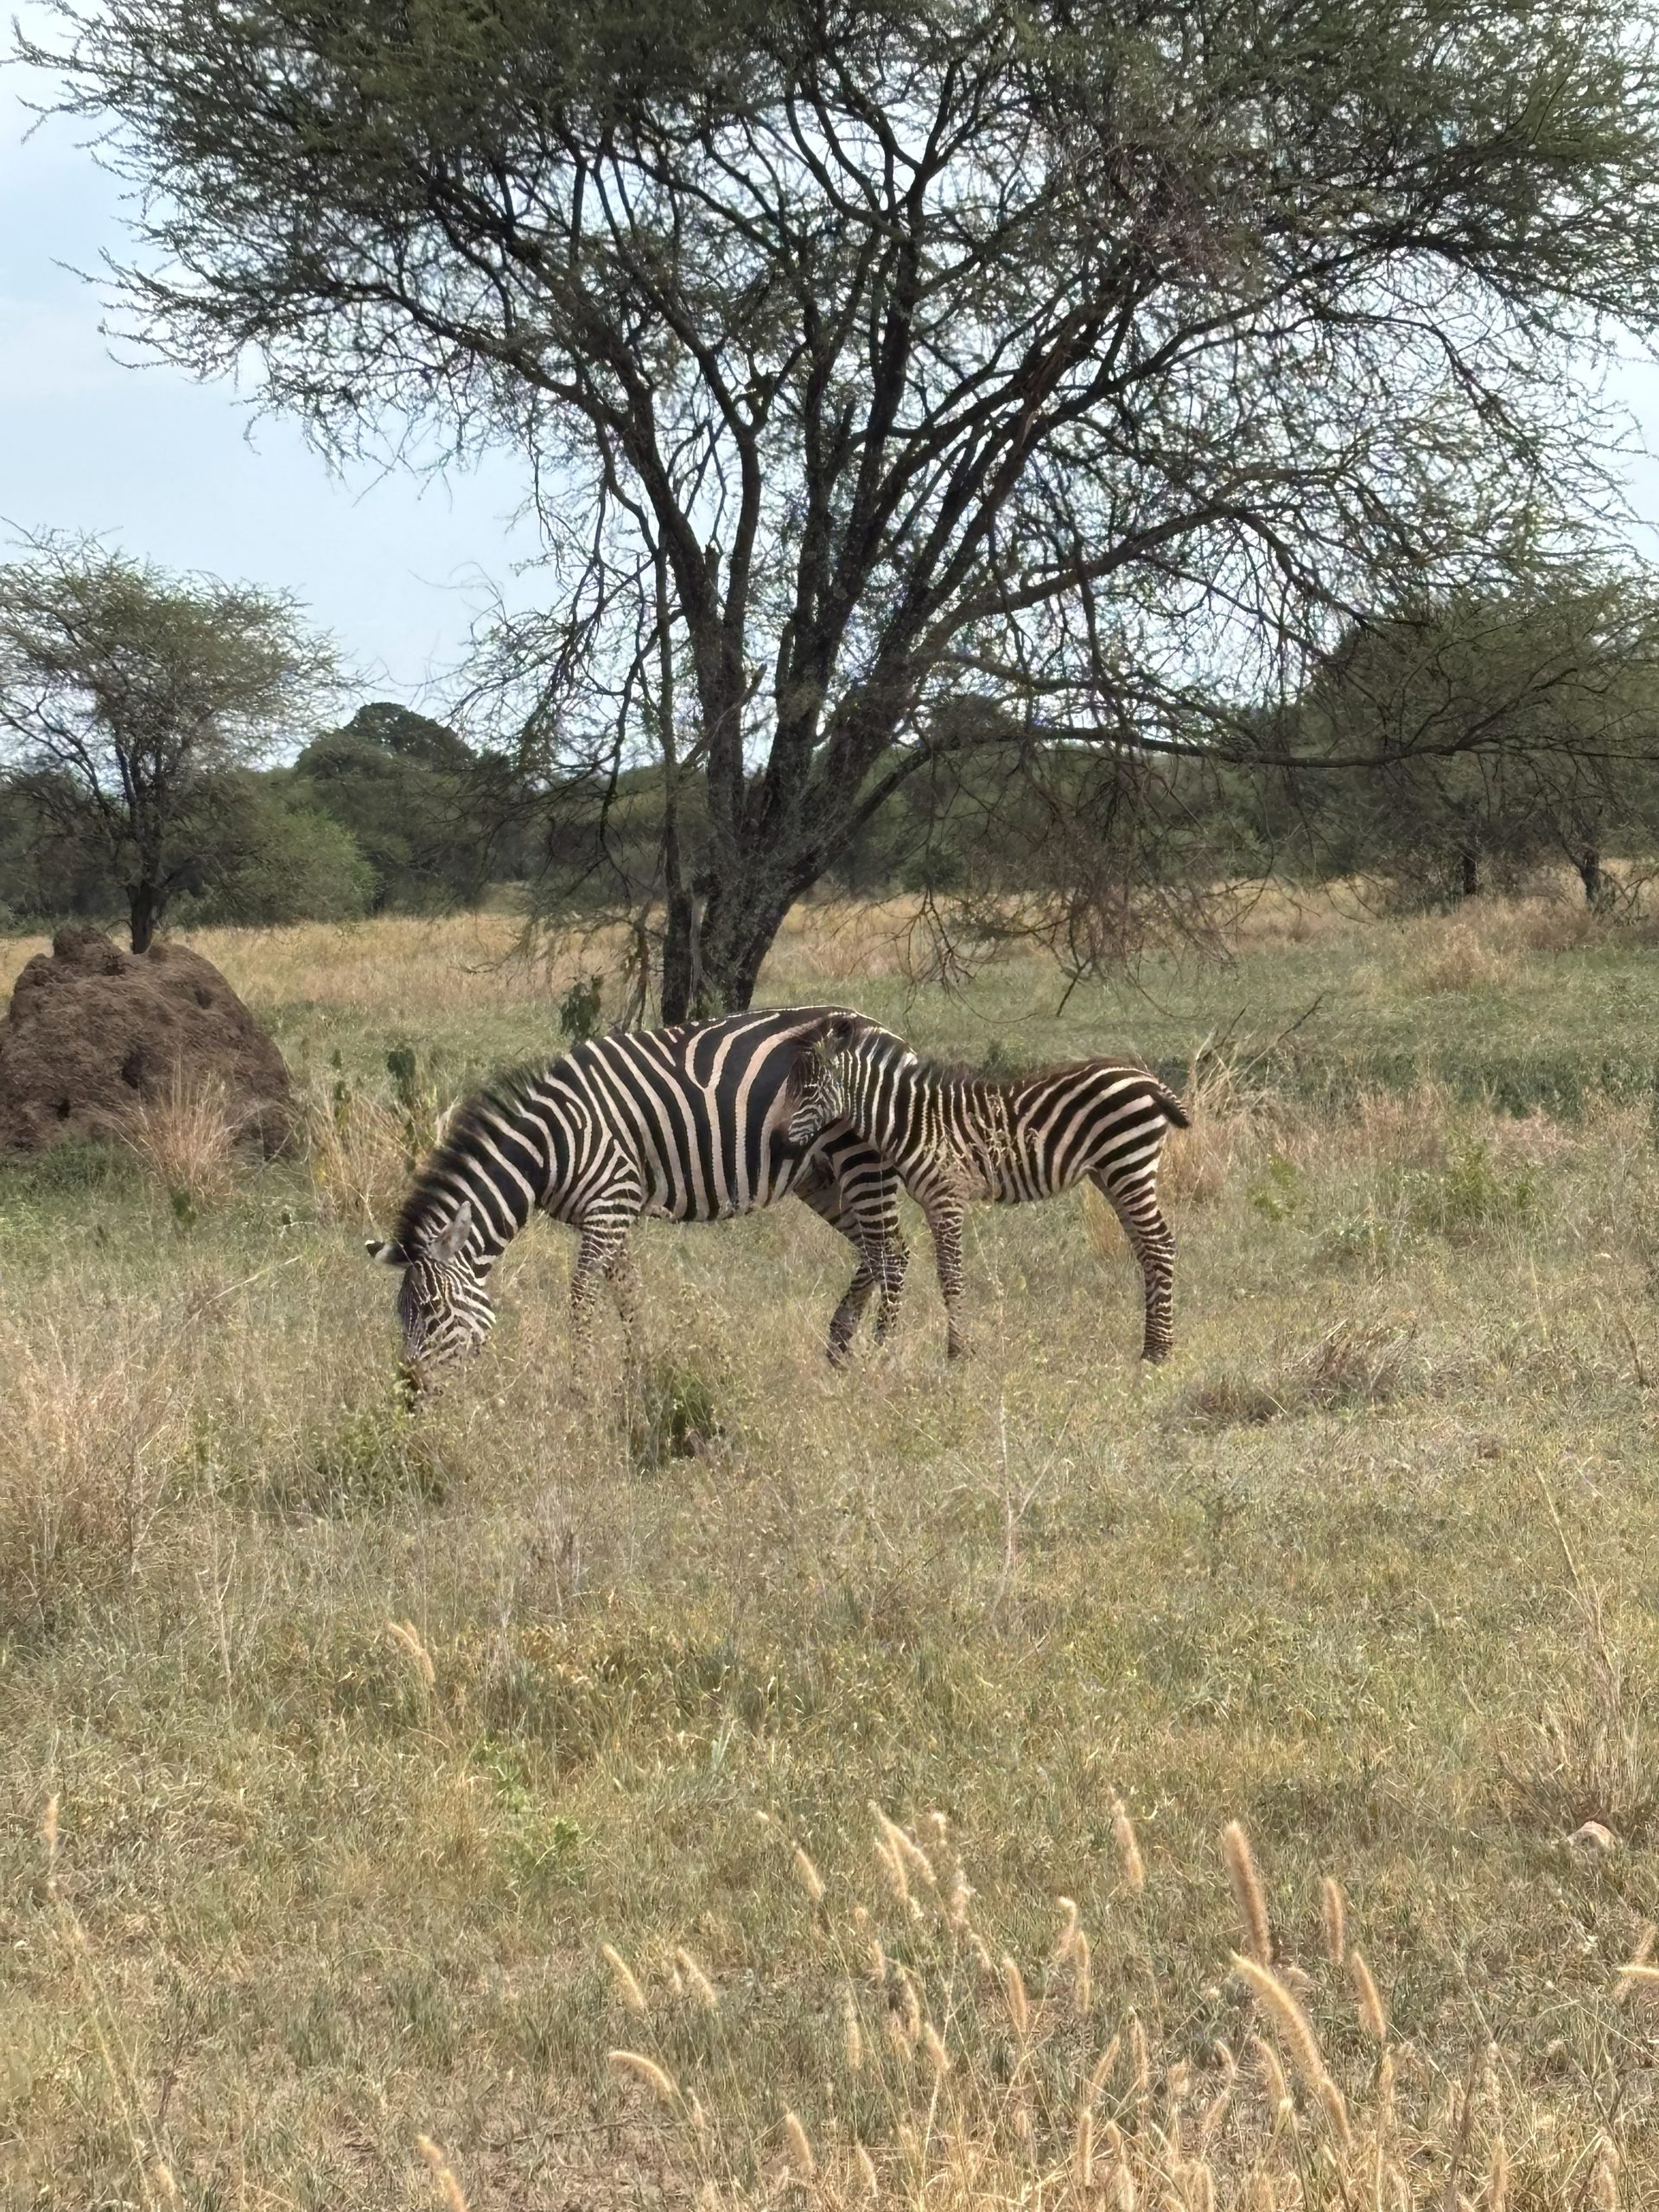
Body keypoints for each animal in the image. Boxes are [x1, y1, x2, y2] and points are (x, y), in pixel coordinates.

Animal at [366, 1007, 911, 1389]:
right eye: (401, 1317)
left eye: (434, 1314)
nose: (410, 1393)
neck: (550, 1146)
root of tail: (890, 1034)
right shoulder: (608, 1212)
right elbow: (627, 1293)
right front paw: (638, 1373)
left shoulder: (611, 1204)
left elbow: (582, 1295)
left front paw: (581, 1387)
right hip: (819, 1176)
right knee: (876, 1250)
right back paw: (839, 1349)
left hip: (861, 1159)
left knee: (892, 1254)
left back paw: (882, 1362)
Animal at [781, 1015, 1191, 1362]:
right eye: (792, 1088)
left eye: (811, 1090)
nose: (783, 1143)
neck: (913, 1122)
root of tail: (1147, 1078)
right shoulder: (933, 1201)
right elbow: (946, 1274)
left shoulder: (947, 1197)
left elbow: (951, 1275)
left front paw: (957, 1353)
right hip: (1111, 1173)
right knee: (1146, 1247)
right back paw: (1152, 1346)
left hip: (1128, 1163)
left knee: (1160, 1244)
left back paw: (1159, 1352)